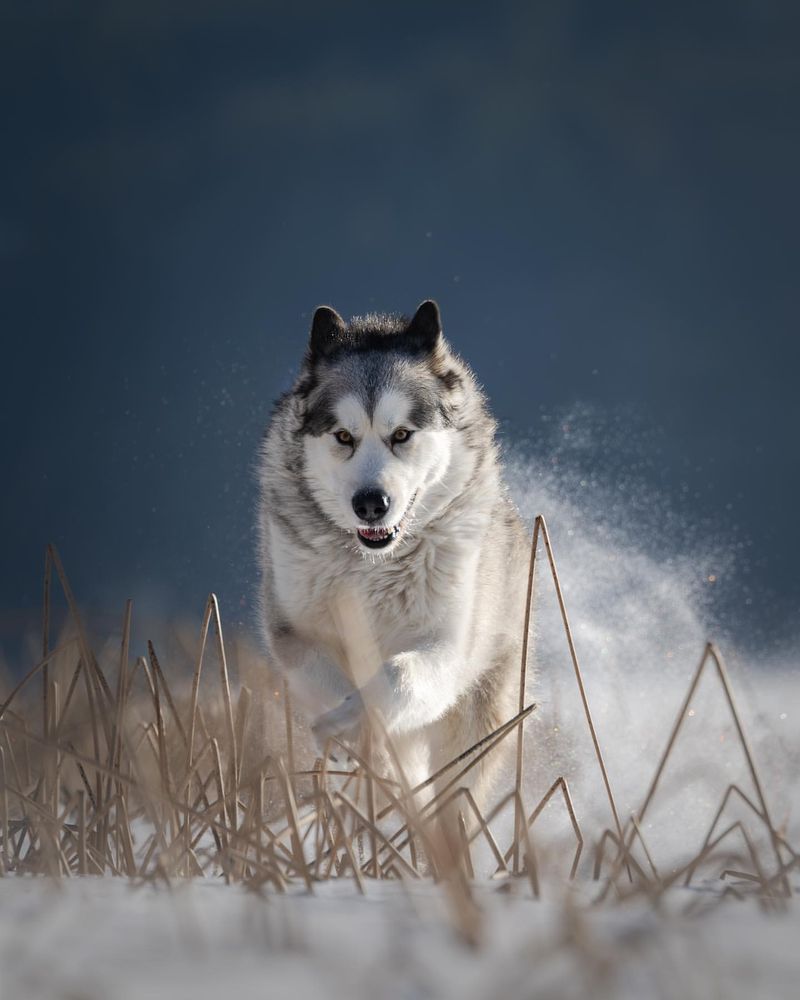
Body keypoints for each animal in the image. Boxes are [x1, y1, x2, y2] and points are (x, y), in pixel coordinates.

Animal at [258, 298, 532, 804]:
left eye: (402, 434)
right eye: (343, 436)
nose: (371, 503)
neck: (373, 566)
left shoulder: (447, 648)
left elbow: (395, 678)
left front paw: (354, 721)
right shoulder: (293, 633)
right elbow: (331, 681)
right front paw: (351, 733)